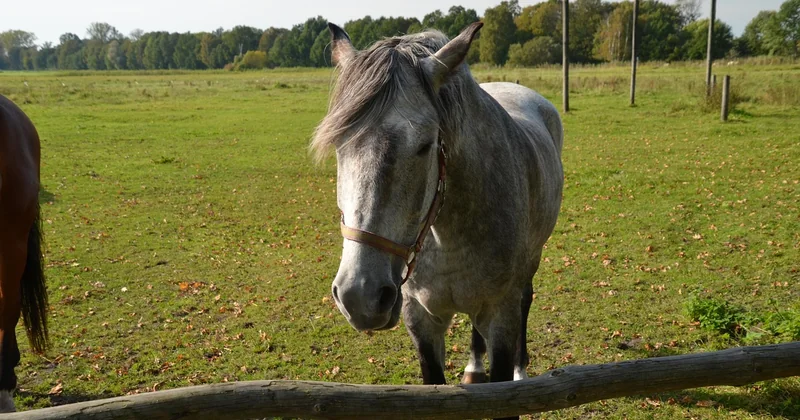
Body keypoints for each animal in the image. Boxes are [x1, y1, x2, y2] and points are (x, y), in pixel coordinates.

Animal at [311, 22, 563, 415]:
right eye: (339, 144)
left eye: (425, 145)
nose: (359, 296)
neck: (448, 234)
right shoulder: (421, 320)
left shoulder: (501, 316)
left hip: (532, 261)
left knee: (526, 298)